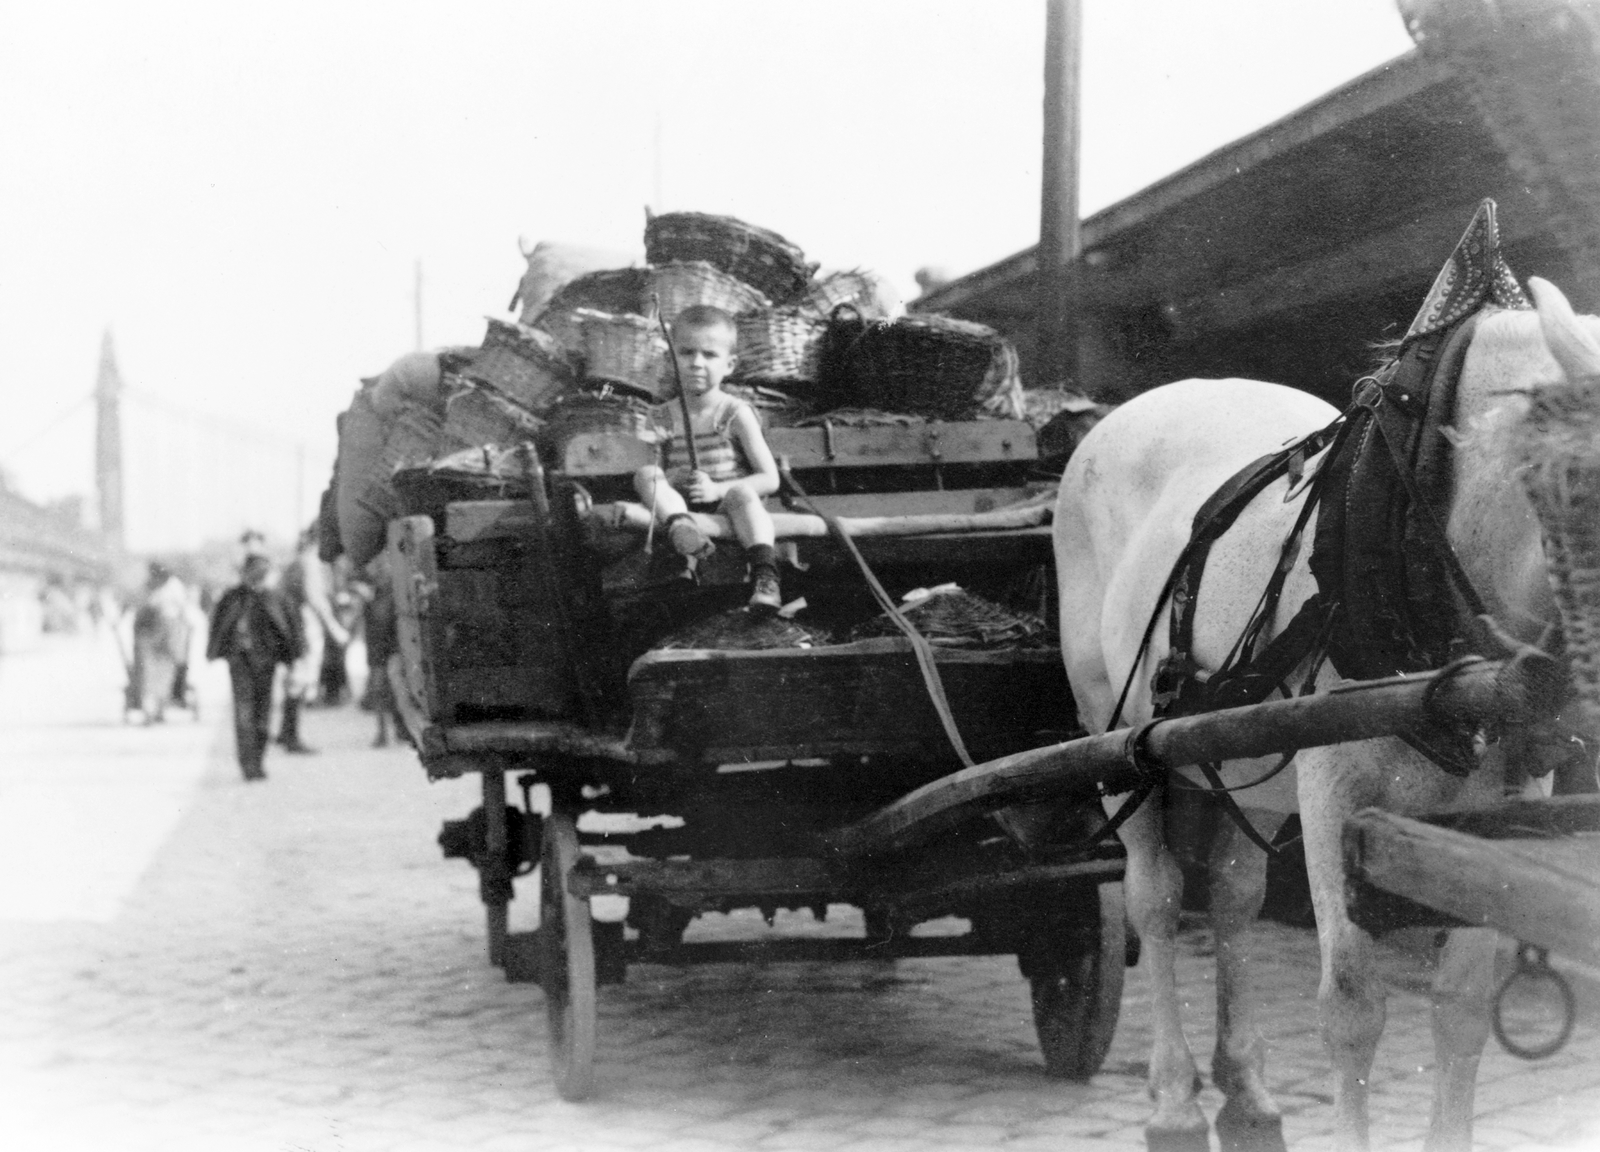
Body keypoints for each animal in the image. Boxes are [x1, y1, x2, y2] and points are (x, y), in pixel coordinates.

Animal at [1056, 256, 1593, 1145]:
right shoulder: (1334, 787)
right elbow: (1351, 1010)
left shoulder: (1511, 798)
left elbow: (1463, 1005)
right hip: (1116, 745)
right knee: (1156, 901)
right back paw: (1174, 1101)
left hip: (1240, 752)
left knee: (1233, 897)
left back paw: (1246, 1093)